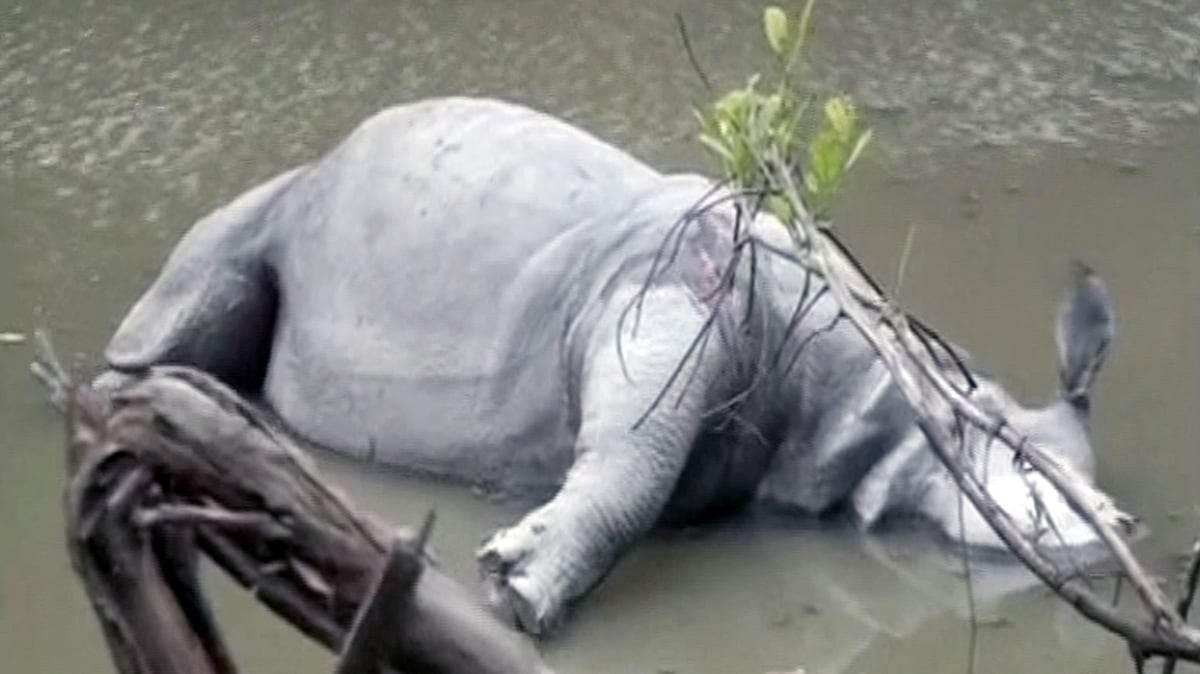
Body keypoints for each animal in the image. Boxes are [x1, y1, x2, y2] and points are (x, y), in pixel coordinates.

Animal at [93, 96, 1132, 635]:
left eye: (1108, 503)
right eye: (1033, 481)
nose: (1117, 538)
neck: (904, 397)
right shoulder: (668, 290)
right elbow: (637, 450)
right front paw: (517, 588)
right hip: (289, 199)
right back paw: (132, 405)